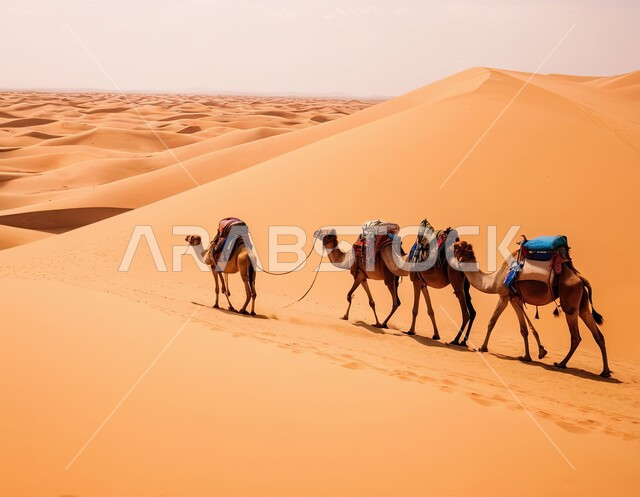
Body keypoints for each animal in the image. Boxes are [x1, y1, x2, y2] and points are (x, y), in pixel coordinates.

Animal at [314, 226, 474, 343]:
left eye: (325, 233)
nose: (315, 232)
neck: (347, 258)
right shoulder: (365, 277)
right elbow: (430, 310)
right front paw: (436, 334)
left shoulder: (359, 274)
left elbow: (349, 295)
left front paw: (348, 316)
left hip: (391, 278)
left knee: (396, 302)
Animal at [453, 240, 610, 377]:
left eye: (456, 246)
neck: (494, 279)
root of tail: (580, 278)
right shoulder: (515, 299)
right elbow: (524, 330)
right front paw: (528, 356)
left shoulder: (504, 296)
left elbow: (492, 322)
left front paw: (483, 347)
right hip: (582, 305)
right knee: (598, 335)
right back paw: (605, 372)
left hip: (570, 304)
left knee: (576, 336)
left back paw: (561, 364)